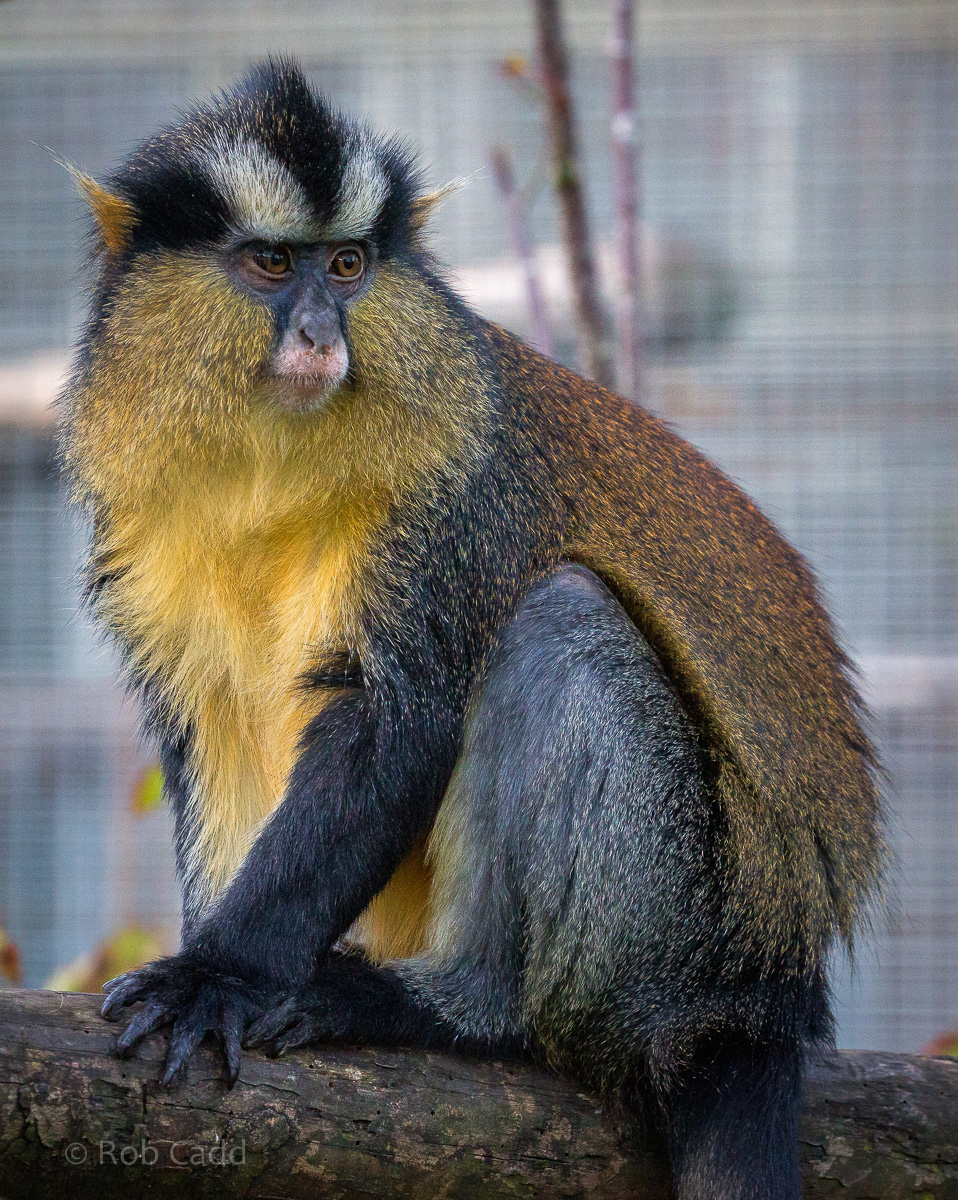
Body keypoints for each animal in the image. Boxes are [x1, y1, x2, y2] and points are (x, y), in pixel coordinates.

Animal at [59, 59, 886, 1200]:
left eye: (349, 266)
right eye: (271, 265)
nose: (321, 335)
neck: (270, 457)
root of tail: (764, 1007)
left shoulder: (450, 500)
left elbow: (394, 719)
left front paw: (222, 974)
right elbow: (209, 727)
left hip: (675, 943)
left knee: (562, 625)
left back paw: (457, 1007)